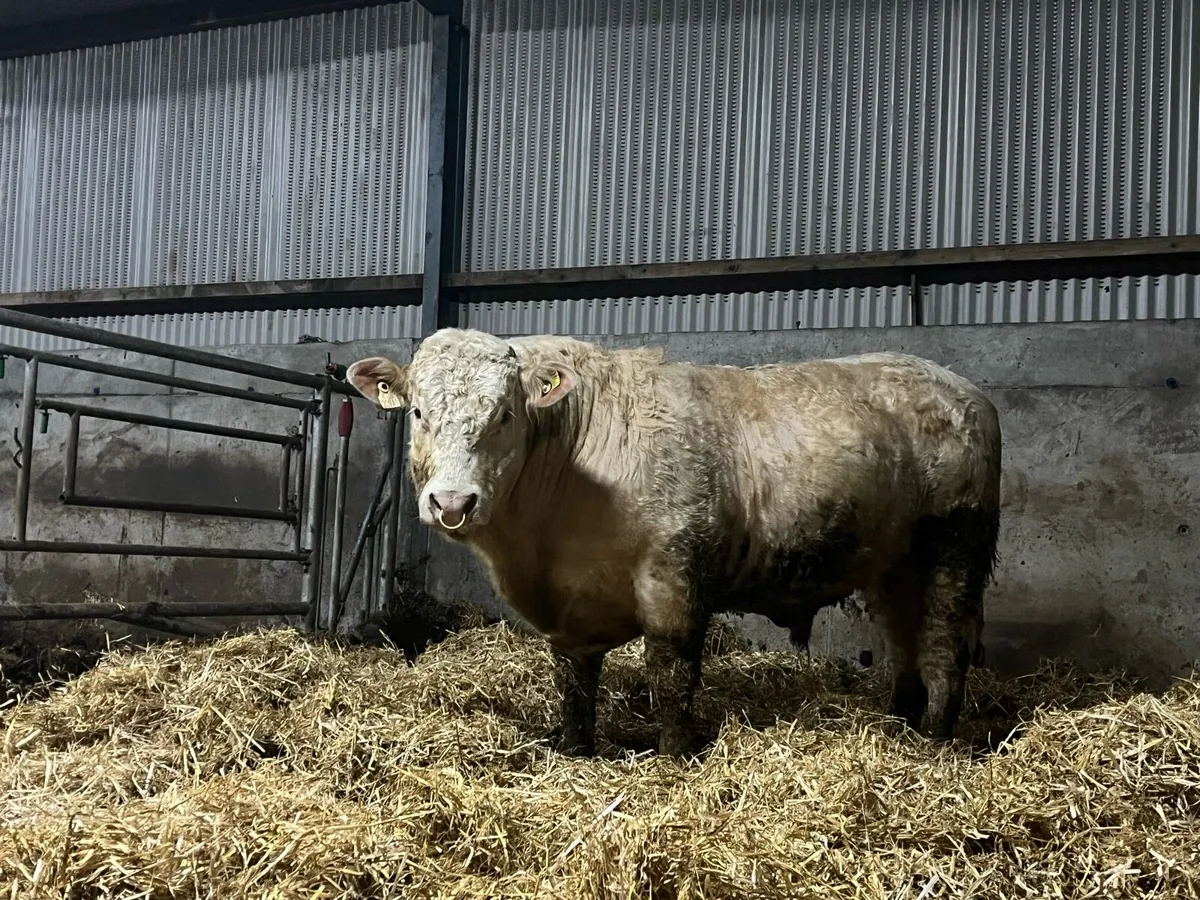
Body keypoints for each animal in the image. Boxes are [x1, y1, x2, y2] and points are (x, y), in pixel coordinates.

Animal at [347, 328, 1002, 758]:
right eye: (419, 412)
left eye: (505, 414)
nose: (452, 502)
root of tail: (963, 390)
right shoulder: (569, 604)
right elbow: (574, 681)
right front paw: (575, 748)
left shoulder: (674, 576)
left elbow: (670, 674)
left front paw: (673, 754)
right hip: (894, 567)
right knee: (903, 644)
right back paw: (900, 724)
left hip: (956, 550)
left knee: (943, 646)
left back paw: (936, 740)